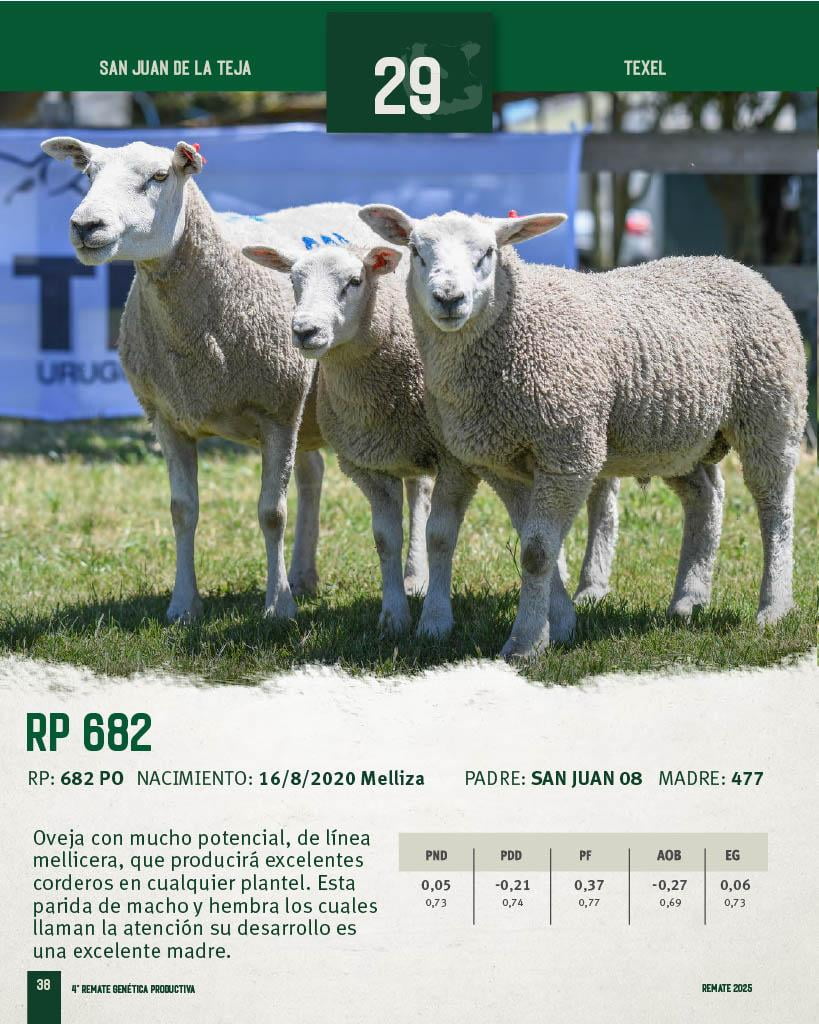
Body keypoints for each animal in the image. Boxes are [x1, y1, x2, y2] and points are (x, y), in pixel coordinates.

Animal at [41, 136, 373, 622]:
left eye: (160, 176)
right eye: (88, 174)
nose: (85, 225)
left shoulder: (277, 412)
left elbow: (272, 513)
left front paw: (278, 607)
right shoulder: (167, 417)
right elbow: (183, 511)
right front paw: (183, 605)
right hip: (305, 410)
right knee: (312, 474)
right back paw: (303, 576)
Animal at [243, 240, 621, 638]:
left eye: (354, 281)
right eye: (293, 281)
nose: (304, 331)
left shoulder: (456, 462)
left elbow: (439, 535)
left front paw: (435, 620)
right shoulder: (368, 464)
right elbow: (385, 539)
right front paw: (393, 617)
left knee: (602, 495)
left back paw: (592, 586)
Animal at [360, 204, 807, 658]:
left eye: (488, 252)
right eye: (417, 252)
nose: (449, 299)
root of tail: (736, 266)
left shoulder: (568, 453)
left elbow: (537, 551)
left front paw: (524, 643)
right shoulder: (500, 463)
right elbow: (535, 542)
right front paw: (557, 626)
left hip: (770, 413)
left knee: (777, 508)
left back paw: (773, 606)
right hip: (677, 438)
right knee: (706, 499)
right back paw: (688, 599)